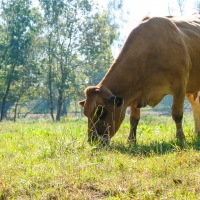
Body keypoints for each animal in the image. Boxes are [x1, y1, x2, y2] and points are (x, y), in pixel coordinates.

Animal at [79, 15, 200, 144]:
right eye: (86, 113)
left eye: (101, 112)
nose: (92, 140)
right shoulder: (134, 92)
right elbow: (134, 119)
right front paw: (131, 140)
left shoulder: (180, 86)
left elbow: (177, 114)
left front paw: (180, 138)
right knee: (196, 105)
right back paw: (197, 132)